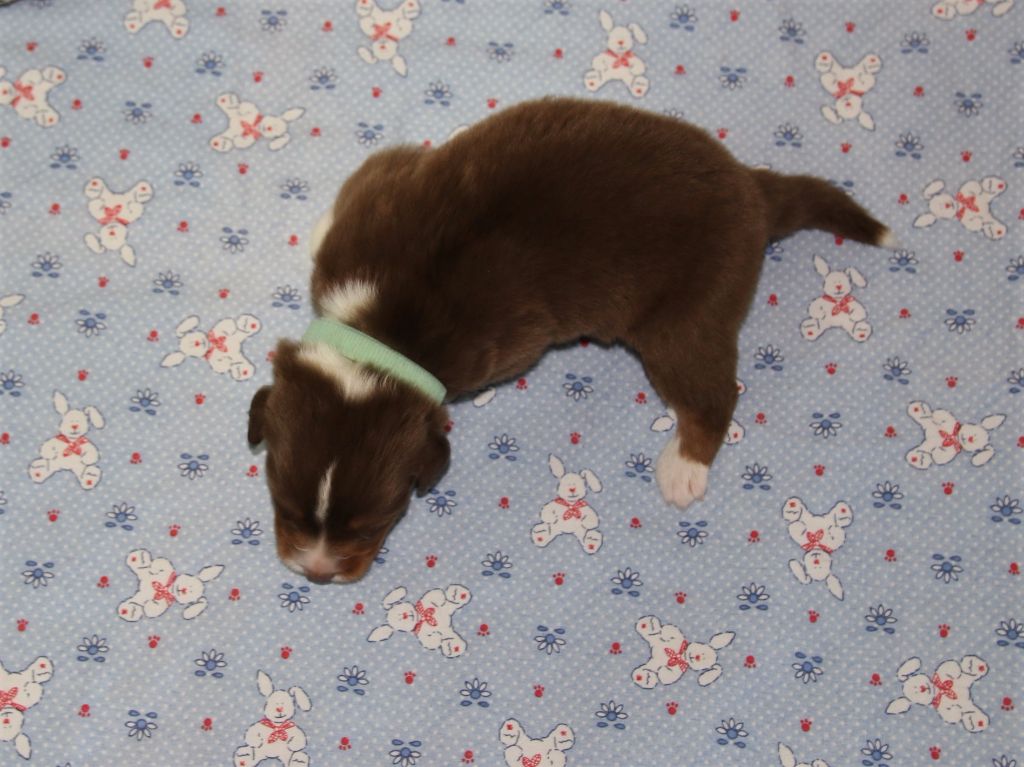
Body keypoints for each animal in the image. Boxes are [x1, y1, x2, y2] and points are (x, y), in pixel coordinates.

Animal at [247, 98, 892, 583]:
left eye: (372, 523)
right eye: (283, 505)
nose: (317, 572)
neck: (379, 331)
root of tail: (754, 190)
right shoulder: (378, 192)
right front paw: (317, 229)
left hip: (687, 318)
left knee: (713, 395)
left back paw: (683, 468)